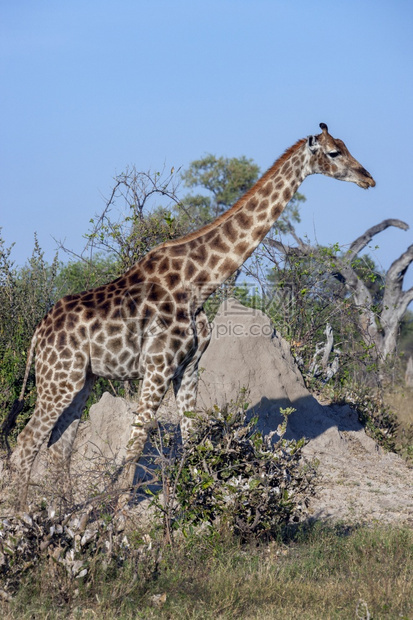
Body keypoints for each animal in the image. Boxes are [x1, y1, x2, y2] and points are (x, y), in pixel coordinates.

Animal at [0, 122, 374, 508]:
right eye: (334, 152)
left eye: (345, 146)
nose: (368, 178)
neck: (198, 283)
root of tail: (37, 334)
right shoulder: (158, 366)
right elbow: (135, 444)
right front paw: (119, 519)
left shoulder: (188, 367)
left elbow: (191, 440)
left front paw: (198, 510)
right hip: (59, 380)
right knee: (26, 445)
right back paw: (24, 519)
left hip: (81, 381)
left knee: (59, 447)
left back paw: (57, 513)